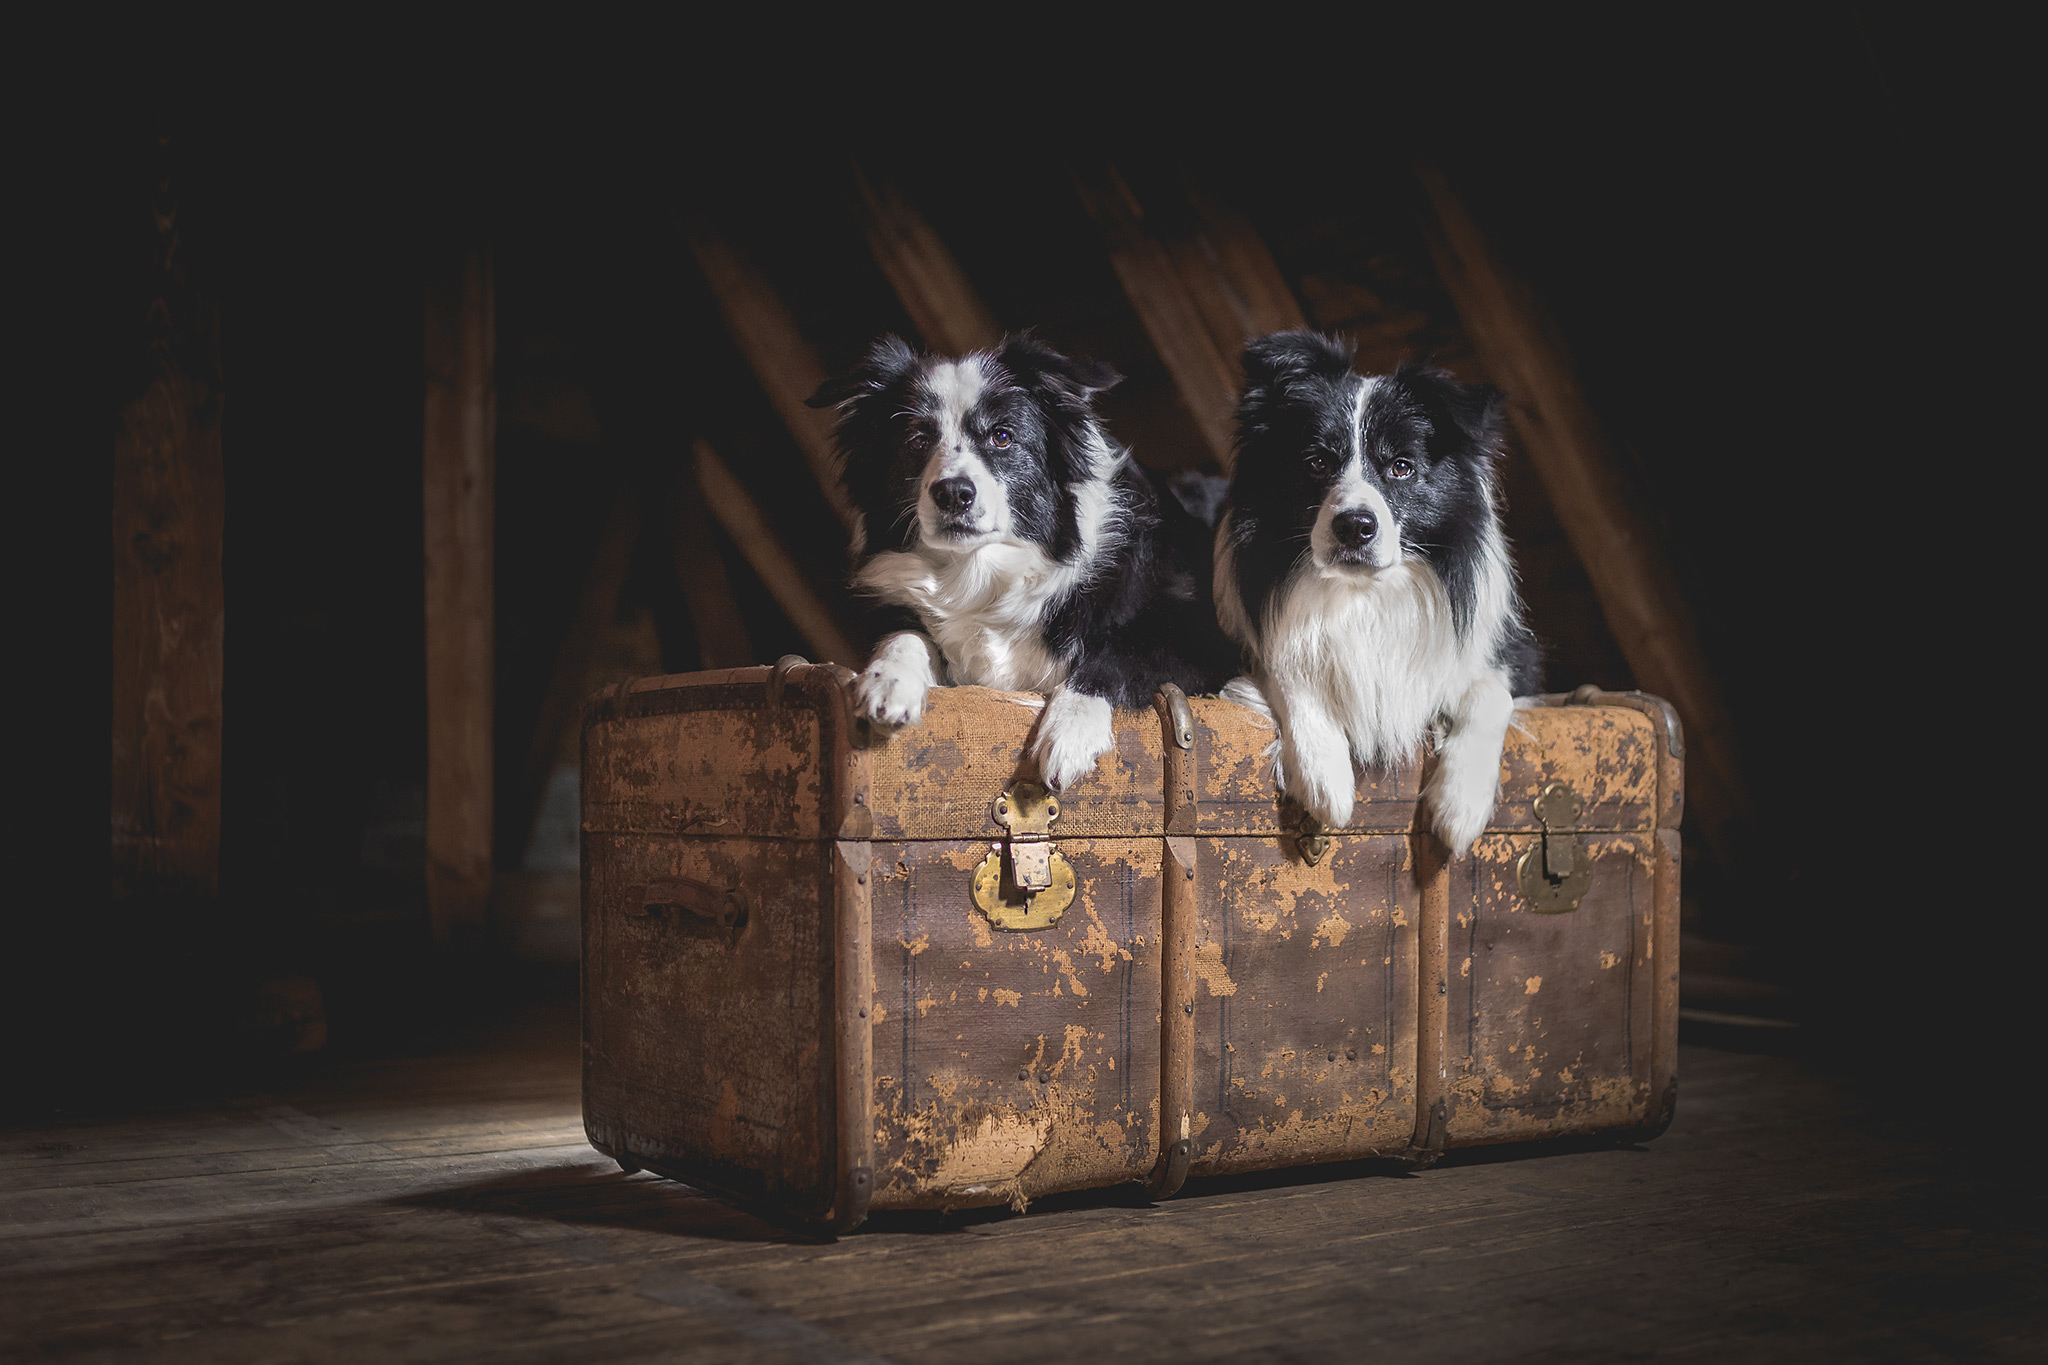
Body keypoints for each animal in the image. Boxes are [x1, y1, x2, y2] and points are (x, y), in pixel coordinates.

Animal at [811, 329, 1228, 789]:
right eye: (916, 440)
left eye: (1002, 436)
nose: (953, 493)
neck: (982, 572)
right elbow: (908, 633)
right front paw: (890, 679)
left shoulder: (1201, 642)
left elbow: (1118, 656)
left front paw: (1071, 730)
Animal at [1212, 331, 1540, 855]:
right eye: (1317, 462)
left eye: (1401, 467)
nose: (1354, 526)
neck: (1363, 594)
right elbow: (1290, 669)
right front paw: (1325, 778)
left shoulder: (1515, 658)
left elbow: (1492, 692)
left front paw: (1461, 805)